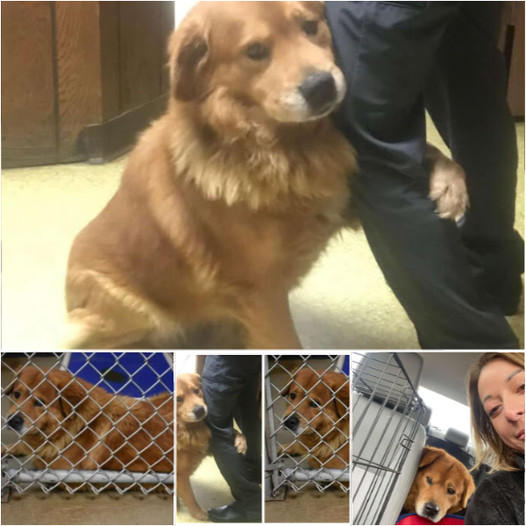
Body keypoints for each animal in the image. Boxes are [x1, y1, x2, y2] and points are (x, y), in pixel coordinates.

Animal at [63, 3, 470, 354]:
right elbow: (286, 345)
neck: (279, 149)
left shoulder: (342, 208)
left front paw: (450, 183)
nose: (322, 86)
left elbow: (428, 157)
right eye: (256, 51)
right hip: (132, 314)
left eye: (310, 26)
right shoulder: (261, 293)